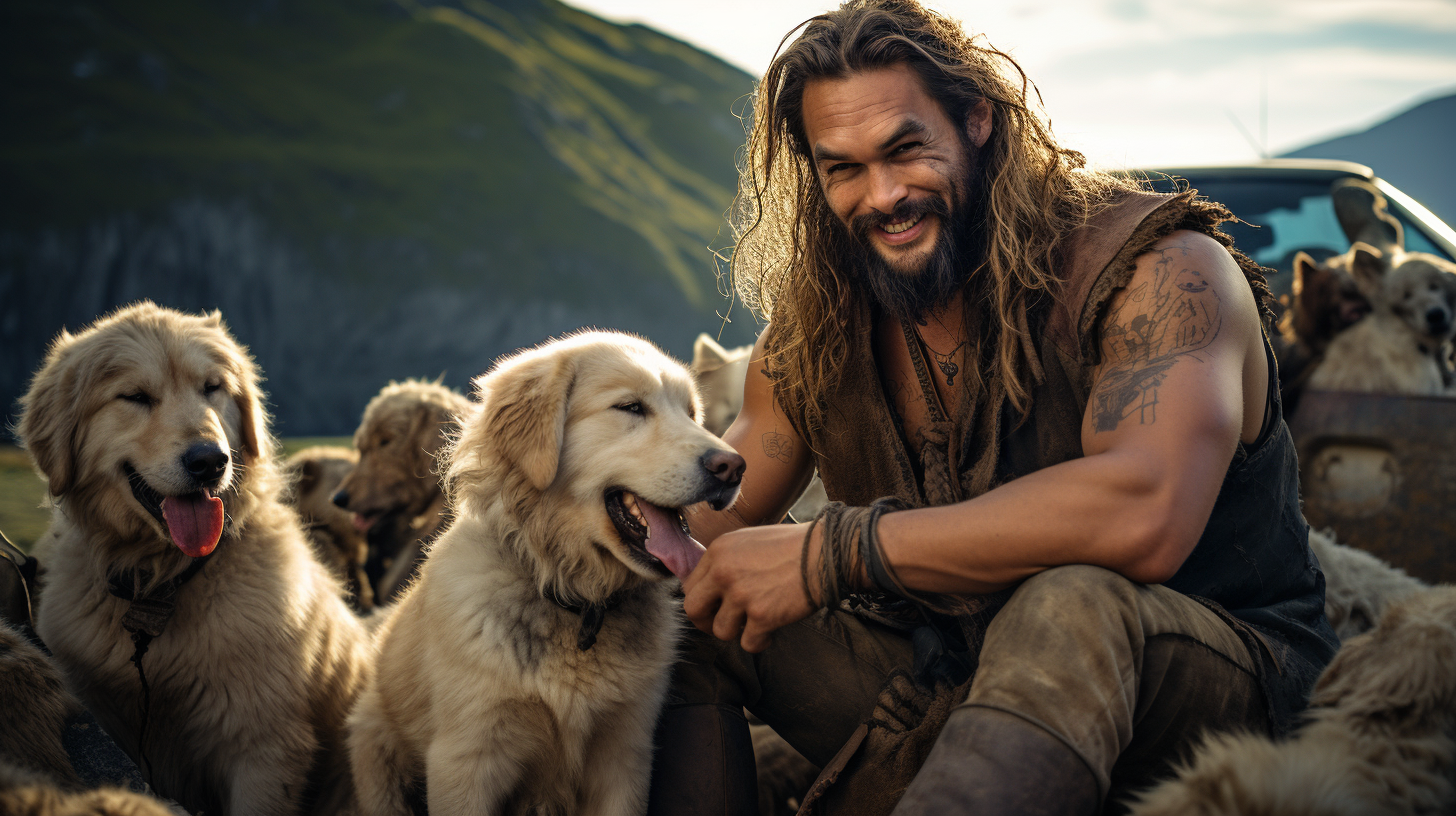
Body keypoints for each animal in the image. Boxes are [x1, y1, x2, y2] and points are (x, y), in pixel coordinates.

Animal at [346, 332, 745, 816]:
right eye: (630, 407)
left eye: (691, 414)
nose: (733, 467)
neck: (576, 602)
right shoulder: (465, 761)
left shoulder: (626, 754)